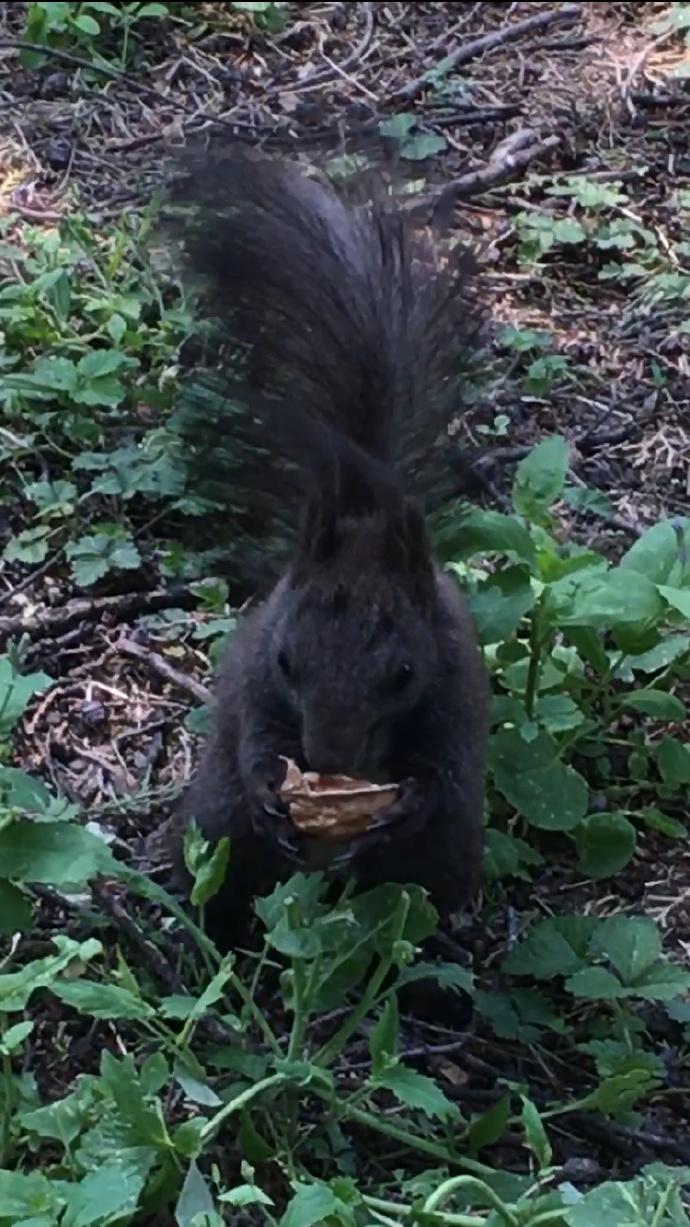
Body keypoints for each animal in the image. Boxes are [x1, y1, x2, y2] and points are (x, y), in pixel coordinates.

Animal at [160, 143, 488, 947]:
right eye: (287, 661)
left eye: (403, 673)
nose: (330, 759)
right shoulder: (254, 679)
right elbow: (254, 736)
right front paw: (270, 791)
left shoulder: (453, 692)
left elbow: (440, 772)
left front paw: (396, 810)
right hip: (214, 823)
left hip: (446, 858)